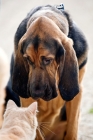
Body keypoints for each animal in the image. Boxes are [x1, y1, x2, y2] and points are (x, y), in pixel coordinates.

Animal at [7, 4, 88, 140]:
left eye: (47, 60)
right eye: (28, 59)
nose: (36, 93)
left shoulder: (77, 94)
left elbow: (72, 129)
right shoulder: (27, 101)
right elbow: (37, 134)